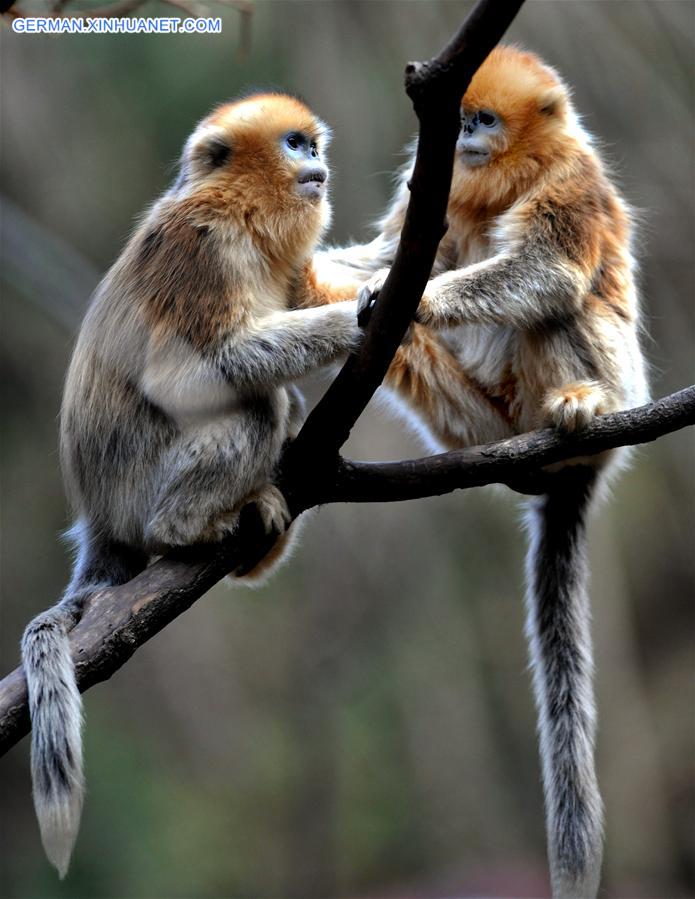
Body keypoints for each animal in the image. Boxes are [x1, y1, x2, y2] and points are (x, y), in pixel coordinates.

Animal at [21, 93, 364, 880]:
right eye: (294, 143)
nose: (317, 165)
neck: (238, 211)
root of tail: (99, 520)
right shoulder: (202, 246)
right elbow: (187, 375)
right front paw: (356, 316)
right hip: (144, 485)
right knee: (260, 403)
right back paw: (188, 527)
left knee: (278, 403)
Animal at [310, 49, 648, 899]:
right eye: (458, 116)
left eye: (484, 120)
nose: (460, 136)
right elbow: (381, 259)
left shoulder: (572, 180)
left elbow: (548, 270)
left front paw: (415, 298)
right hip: (475, 418)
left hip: (610, 385)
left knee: (561, 305)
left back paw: (579, 405)